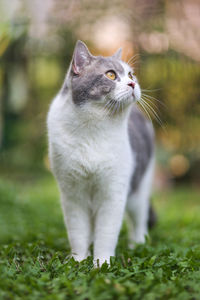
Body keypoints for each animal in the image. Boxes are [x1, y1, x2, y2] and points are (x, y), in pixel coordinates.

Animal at [47, 40, 155, 268]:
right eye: (111, 75)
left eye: (131, 74)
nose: (132, 84)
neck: (93, 129)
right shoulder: (72, 194)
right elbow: (78, 232)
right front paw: (78, 260)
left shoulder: (113, 193)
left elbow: (106, 233)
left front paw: (102, 263)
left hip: (139, 189)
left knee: (139, 219)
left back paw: (137, 244)